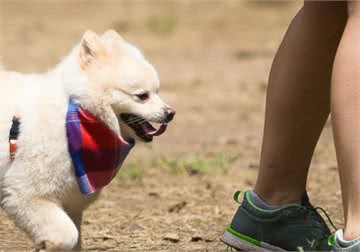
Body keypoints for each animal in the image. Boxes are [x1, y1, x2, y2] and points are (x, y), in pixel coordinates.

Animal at [0, 29, 174, 250]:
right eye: (142, 95)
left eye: (157, 92)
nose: (170, 113)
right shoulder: (25, 193)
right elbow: (68, 235)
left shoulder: (71, 200)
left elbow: (76, 240)